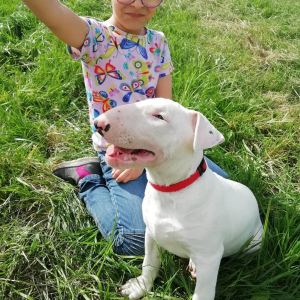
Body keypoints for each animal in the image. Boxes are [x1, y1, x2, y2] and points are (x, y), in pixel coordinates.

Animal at [94, 99, 262, 300]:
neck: (171, 192)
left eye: (160, 116)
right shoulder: (151, 234)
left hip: (253, 243)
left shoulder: (209, 258)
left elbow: (203, 293)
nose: (98, 123)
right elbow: (149, 263)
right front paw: (140, 287)